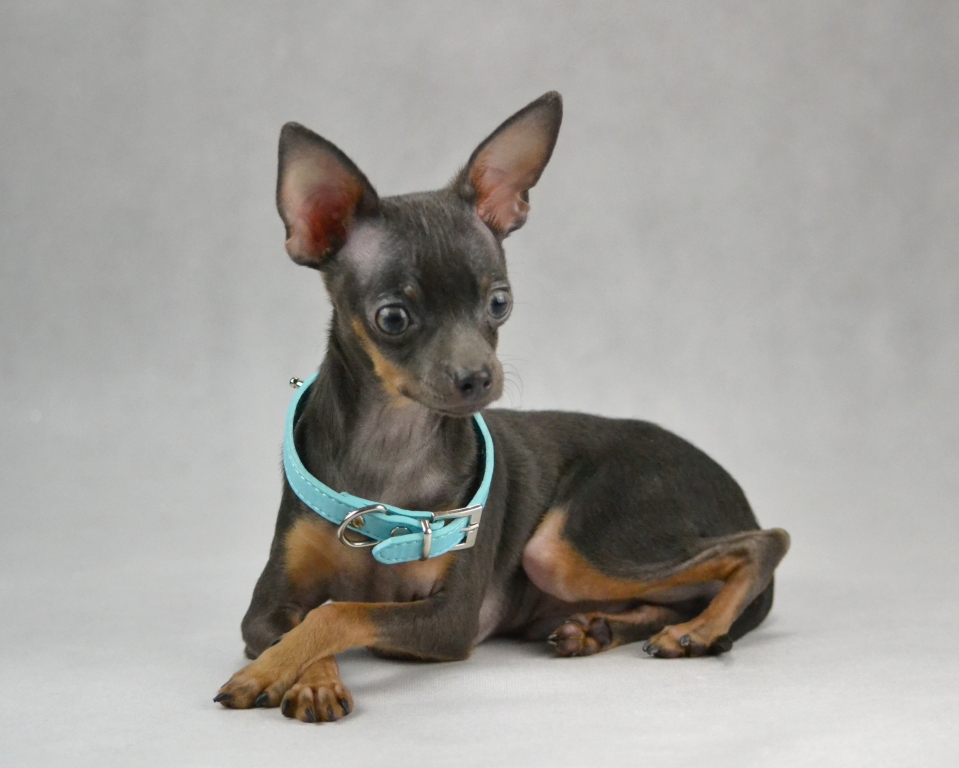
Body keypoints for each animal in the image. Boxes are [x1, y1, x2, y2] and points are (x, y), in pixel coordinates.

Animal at [214, 92, 790, 722]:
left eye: (499, 303)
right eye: (392, 317)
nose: (478, 378)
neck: (391, 445)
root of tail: (735, 493)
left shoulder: (450, 620)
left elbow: (338, 613)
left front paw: (275, 672)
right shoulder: (265, 608)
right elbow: (307, 621)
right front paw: (307, 678)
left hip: (568, 544)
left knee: (765, 542)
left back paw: (700, 627)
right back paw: (601, 628)